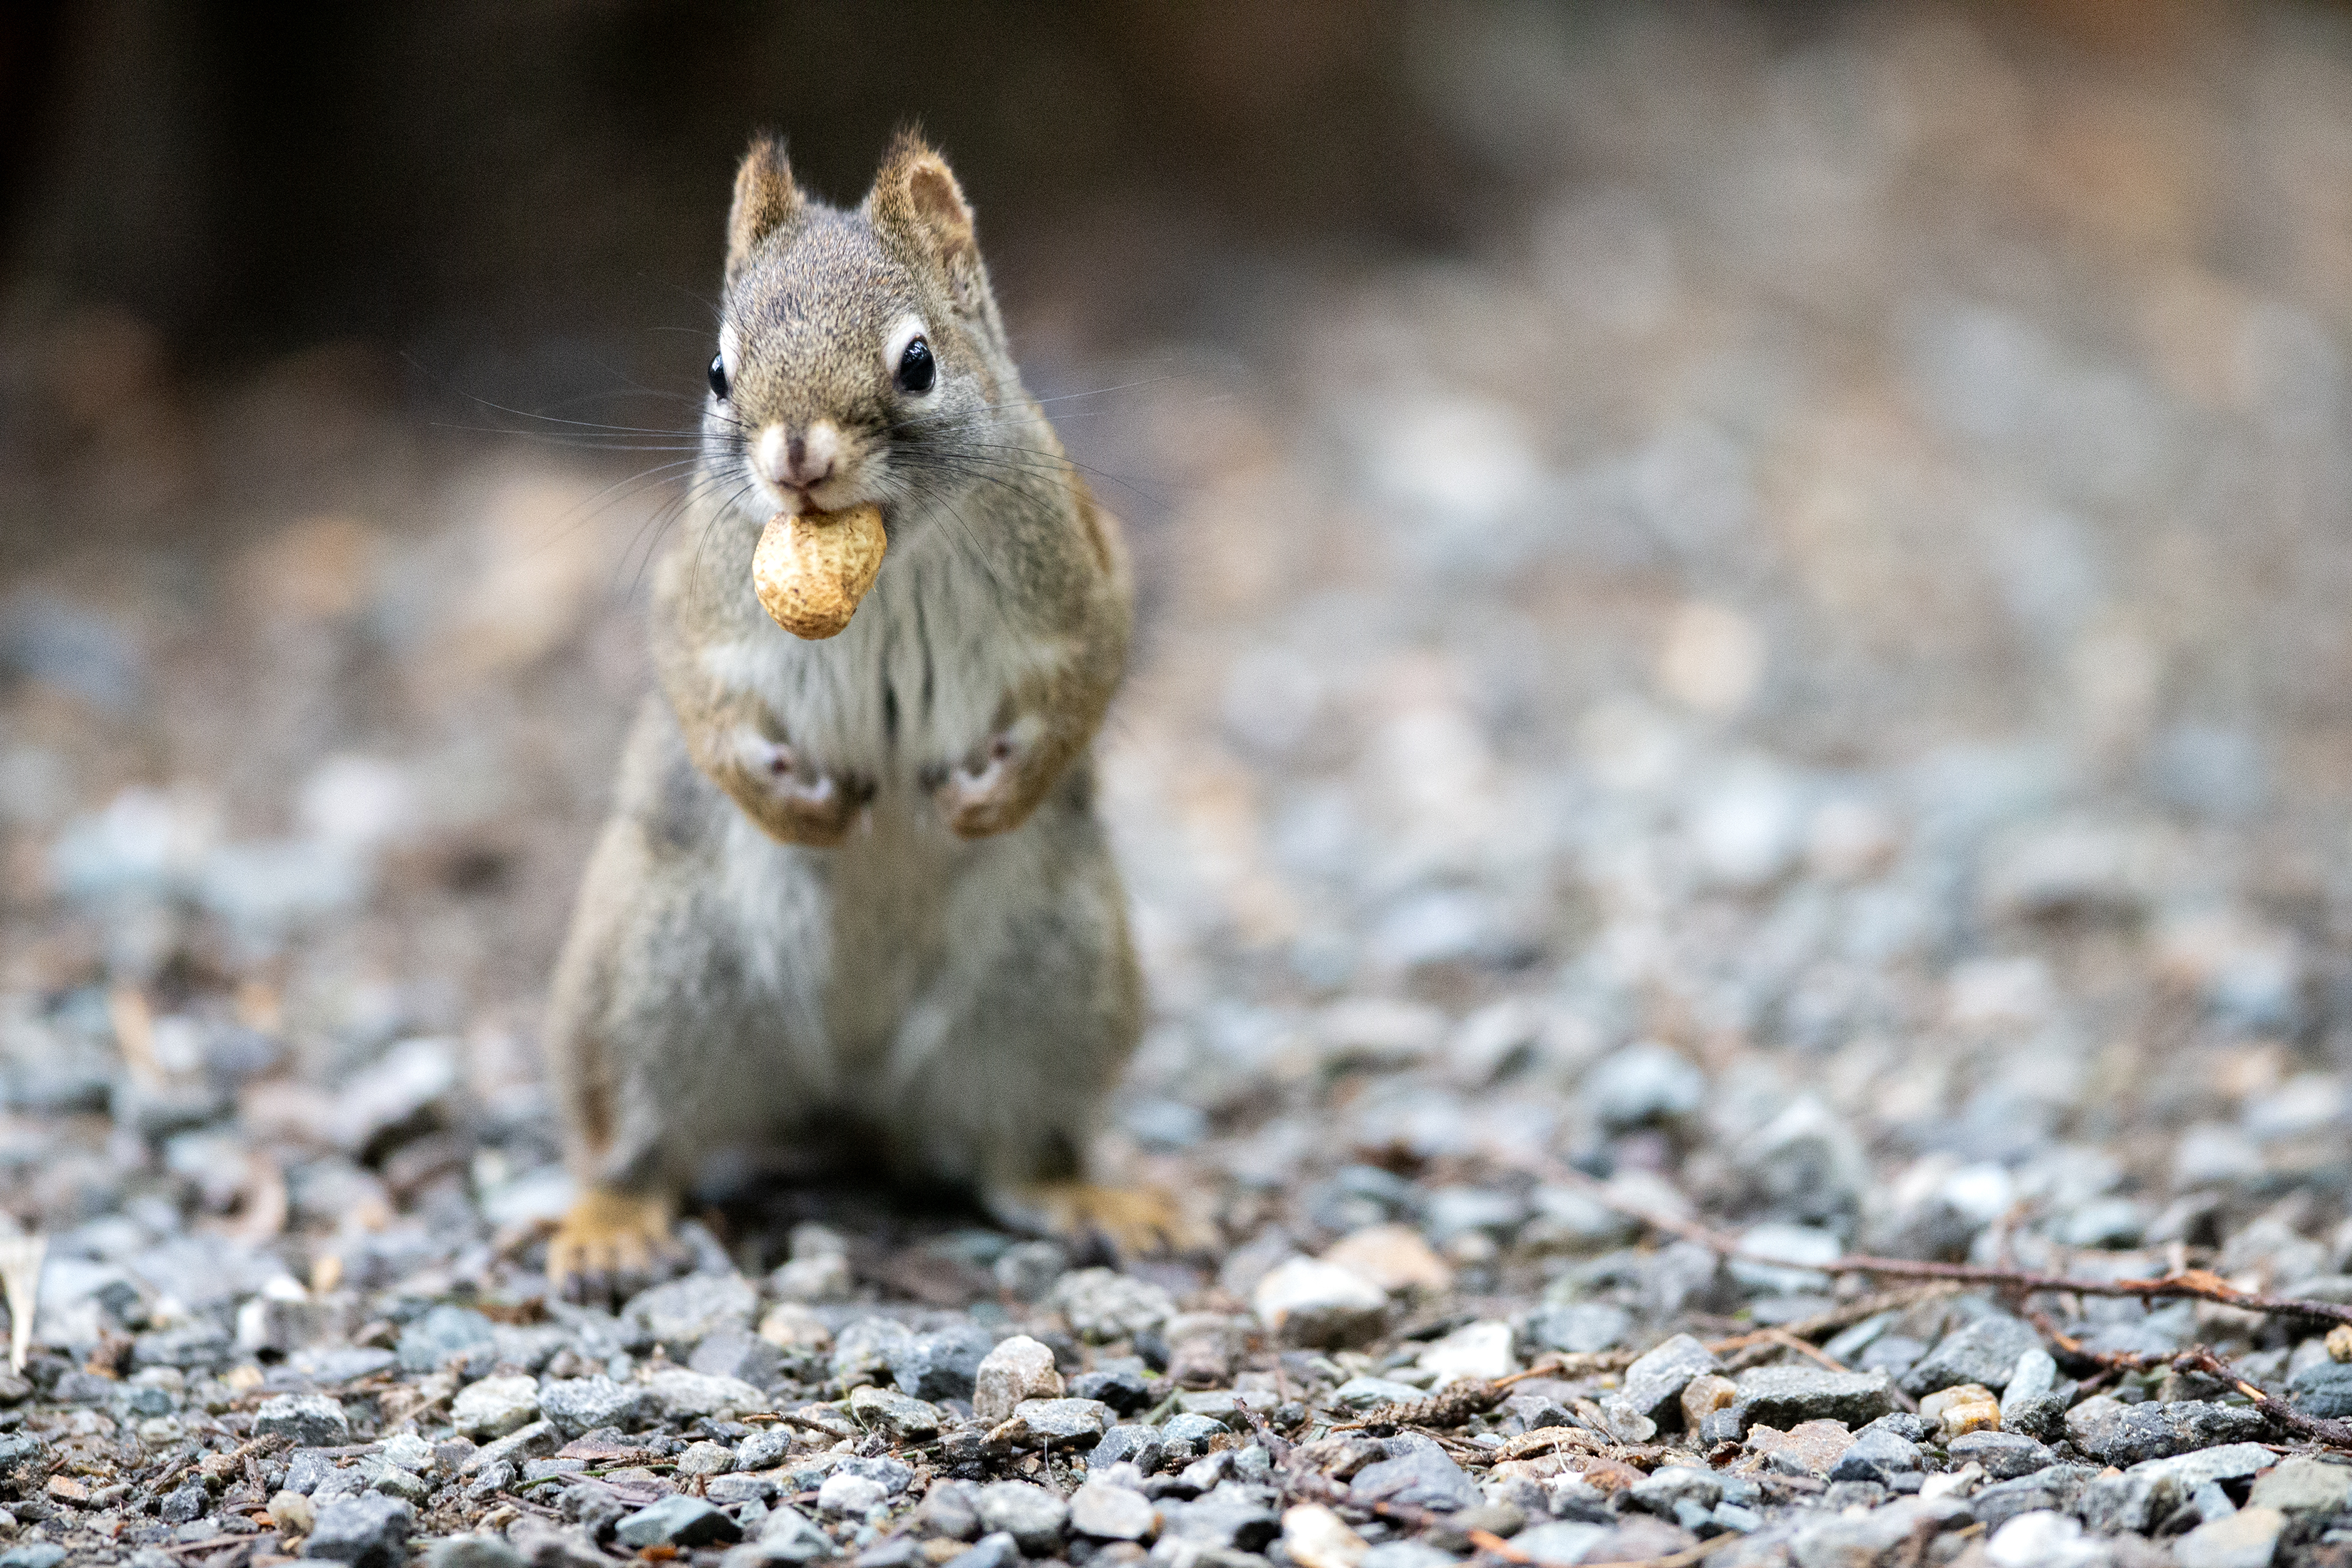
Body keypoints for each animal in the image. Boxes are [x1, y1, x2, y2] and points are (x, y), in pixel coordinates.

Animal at [539, 132, 1200, 1299]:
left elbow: (1086, 683)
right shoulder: (695, 604)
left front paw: (995, 796)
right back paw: (614, 1222)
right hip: (648, 981)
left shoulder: (1085, 581)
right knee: (639, 1139)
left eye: (920, 362)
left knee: (1017, 1151)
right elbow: (699, 699)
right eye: (718, 371)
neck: (884, 545)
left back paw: (1086, 1197)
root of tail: (846, 1086)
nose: (796, 458)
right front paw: (789, 802)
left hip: (1051, 994)